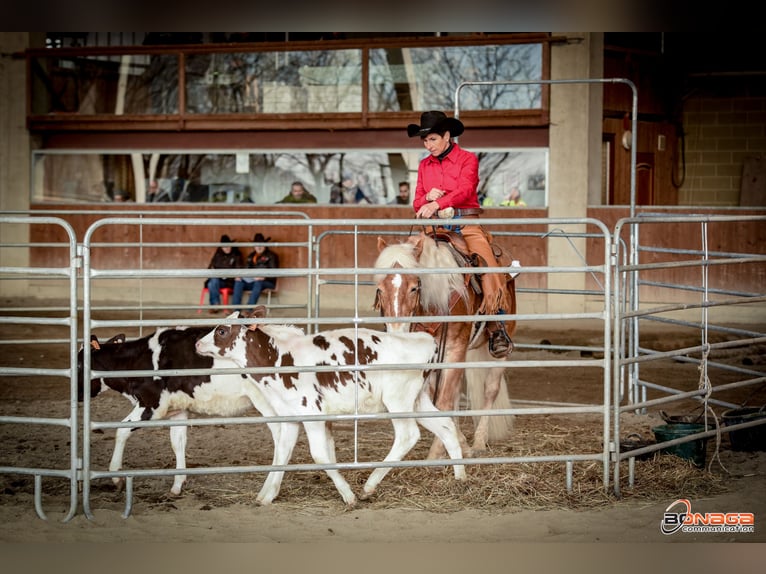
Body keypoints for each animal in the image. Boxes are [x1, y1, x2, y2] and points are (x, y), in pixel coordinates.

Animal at [77, 326, 282, 498]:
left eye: (79, 365)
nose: (78, 395)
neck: (136, 362)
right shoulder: (177, 410)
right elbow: (178, 442)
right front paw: (177, 484)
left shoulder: (152, 405)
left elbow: (121, 431)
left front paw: (116, 476)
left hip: (267, 403)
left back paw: (269, 490)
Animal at [196, 308, 468, 510]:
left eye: (222, 330)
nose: (198, 343)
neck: (278, 358)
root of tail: (424, 340)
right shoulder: (290, 417)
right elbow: (281, 454)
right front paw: (266, 495)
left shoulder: (312, 415)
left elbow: (320, 456)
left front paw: (348, 495)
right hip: (418, 400)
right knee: (445, 426)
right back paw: (460, 478)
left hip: (398, 400)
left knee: (408, 435)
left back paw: (369, 486)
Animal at [376, 230, 520, 460]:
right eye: (380, 289)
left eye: (414, 287)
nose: (397, 333)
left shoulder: (454, 350)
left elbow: (443, 402)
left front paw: (435, 454)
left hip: (500, 347)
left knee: (490, 389)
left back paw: (479, 442)